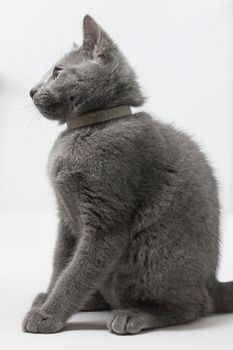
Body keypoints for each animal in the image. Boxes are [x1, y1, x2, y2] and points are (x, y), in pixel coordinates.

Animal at [22, 15, 233, 334]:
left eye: (57, 71)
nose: (32, 90)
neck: (87, 128)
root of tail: (212, 282)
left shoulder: (106, 220)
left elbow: (77, 273)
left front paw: (47, 315)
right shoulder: (65, 218)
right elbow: (61, 263)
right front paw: (47, 298)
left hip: (153, 251)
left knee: (195, 306)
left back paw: (135, 315)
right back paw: (92, 302)